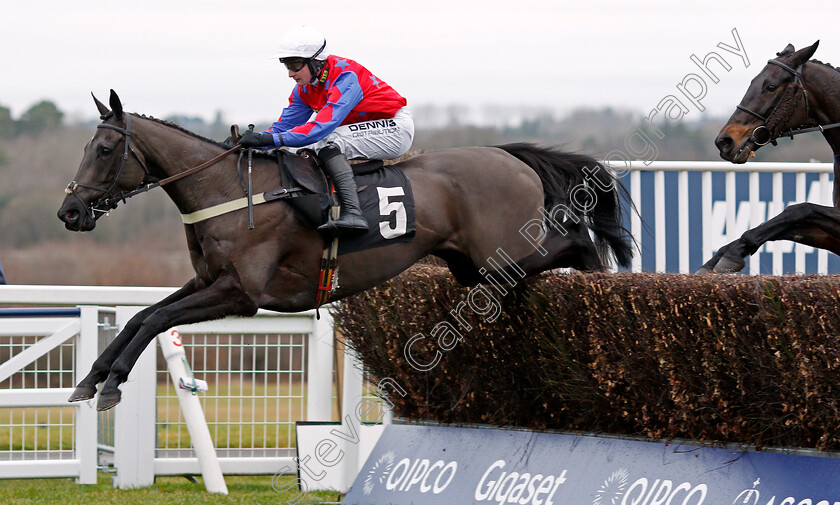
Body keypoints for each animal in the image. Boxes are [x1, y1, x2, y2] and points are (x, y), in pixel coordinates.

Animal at [57, 89, 632, 410]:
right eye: (84, 146)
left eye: (104, 149)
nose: (70, 212)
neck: (227, 190)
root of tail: (508, 156)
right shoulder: (207, 281)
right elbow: (142, 317)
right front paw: (91, 380)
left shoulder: (241, 293)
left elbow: (155, 320)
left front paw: (110, 387)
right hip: (476, 268)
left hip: (507, 253)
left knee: (575, 239)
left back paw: (604, 276)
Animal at [700, 41, 840, 274]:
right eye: (752, 82)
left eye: (771, 87)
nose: (725, 141)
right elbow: (786, 226)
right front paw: (720, 256)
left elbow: (799, 209)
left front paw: (732, 254)